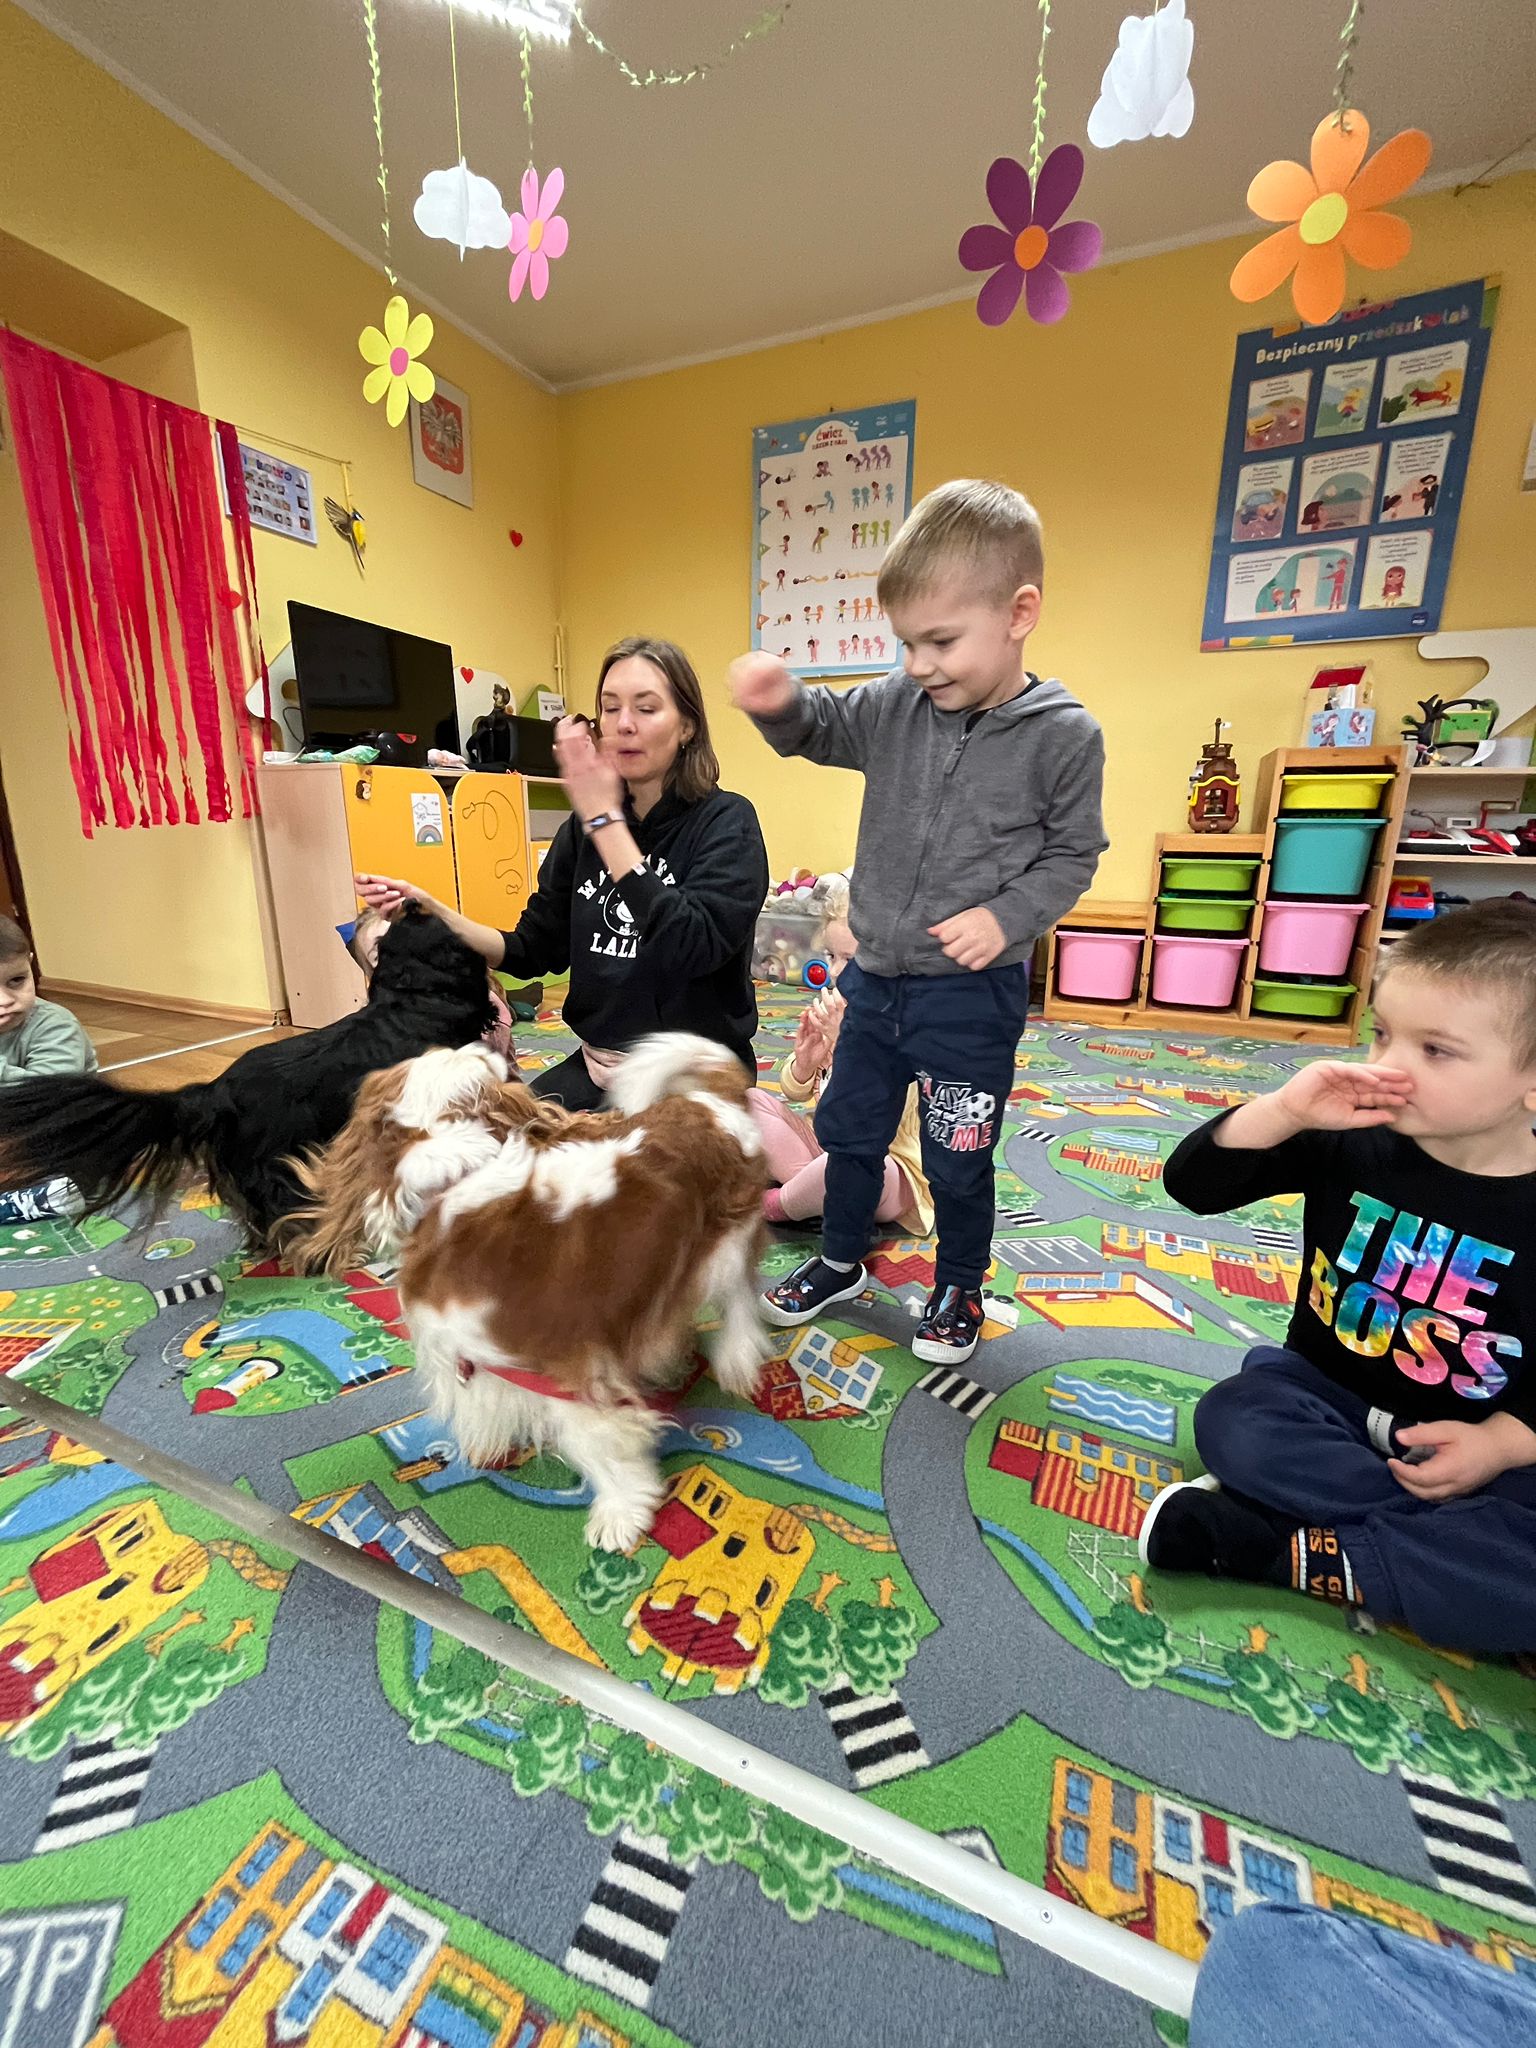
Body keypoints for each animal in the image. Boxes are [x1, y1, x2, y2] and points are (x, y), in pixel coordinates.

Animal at [285, 1034, 769, 1551]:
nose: (489, 1040)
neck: (455, 1185)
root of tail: (710, 1101)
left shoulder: (569, 1366)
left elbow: (592, 1443)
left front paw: (622, 1510)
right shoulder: (482, 1356)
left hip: (724, 1248)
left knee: (740, 1298)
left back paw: (736, 1359)